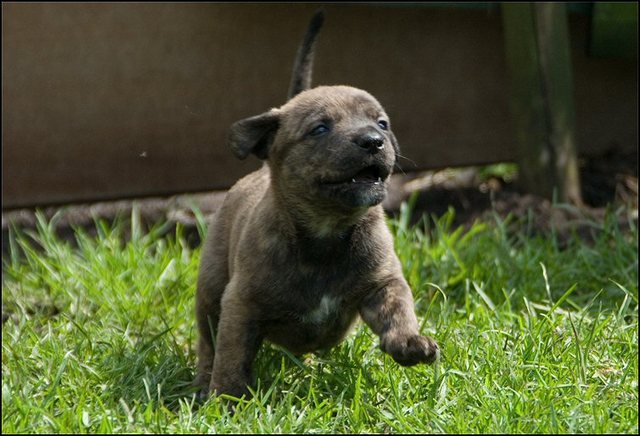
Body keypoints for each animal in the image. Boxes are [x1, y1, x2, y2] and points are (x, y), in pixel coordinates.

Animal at [192, 9, 438, 398]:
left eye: (382, 123)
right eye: (320, 129)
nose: (373, 140)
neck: (328, 230)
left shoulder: (382, 283)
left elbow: (398, 310)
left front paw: (409, 342)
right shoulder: (240, 304)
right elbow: (230, 355)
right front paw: (227, 398)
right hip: (210, 289)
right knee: (208, 341)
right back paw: (203, 383)